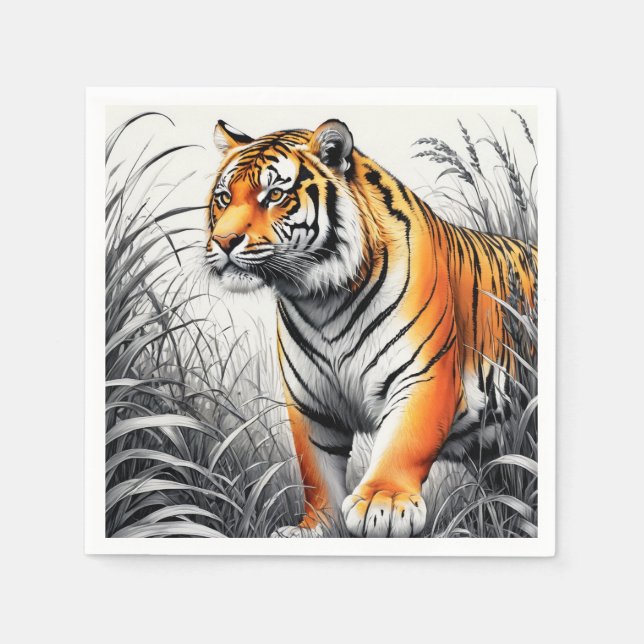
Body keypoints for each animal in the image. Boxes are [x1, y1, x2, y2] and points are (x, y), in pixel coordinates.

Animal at [205, 118, 537, 538]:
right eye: (223, 198)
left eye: (275, 195)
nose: (223, 241)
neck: (323, 301)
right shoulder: (310, 403)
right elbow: (315, 469)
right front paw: (316, 527)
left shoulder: (424, 377)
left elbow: (403, 443)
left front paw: (384, 504)